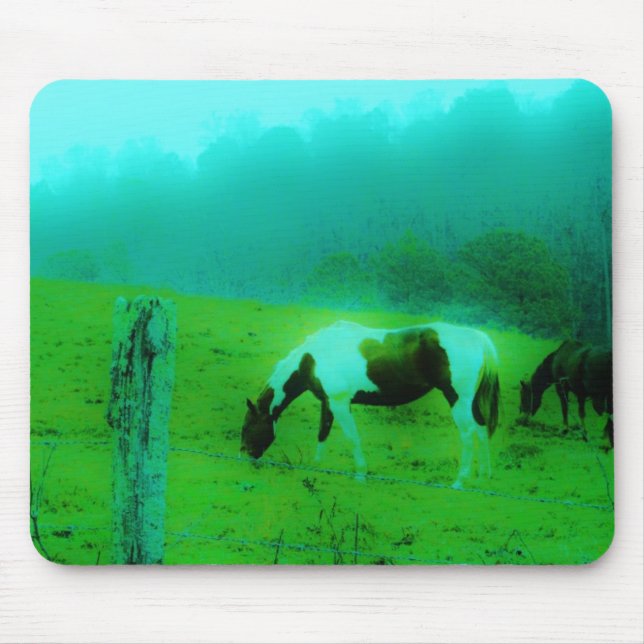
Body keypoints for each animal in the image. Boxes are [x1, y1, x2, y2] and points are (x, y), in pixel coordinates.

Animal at [241, 320, 500, 488]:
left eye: (247, 427)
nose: (245, 457)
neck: (312, 358)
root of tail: (477, 337)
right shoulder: (328, 402)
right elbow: (322, 433)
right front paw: (317, 465)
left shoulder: (340, 403)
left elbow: (352, 437)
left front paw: (360, 474)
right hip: (469, 402)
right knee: (481, 428)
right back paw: (483, 476)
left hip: (457, 399)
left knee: (468, 434)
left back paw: (460, 481)